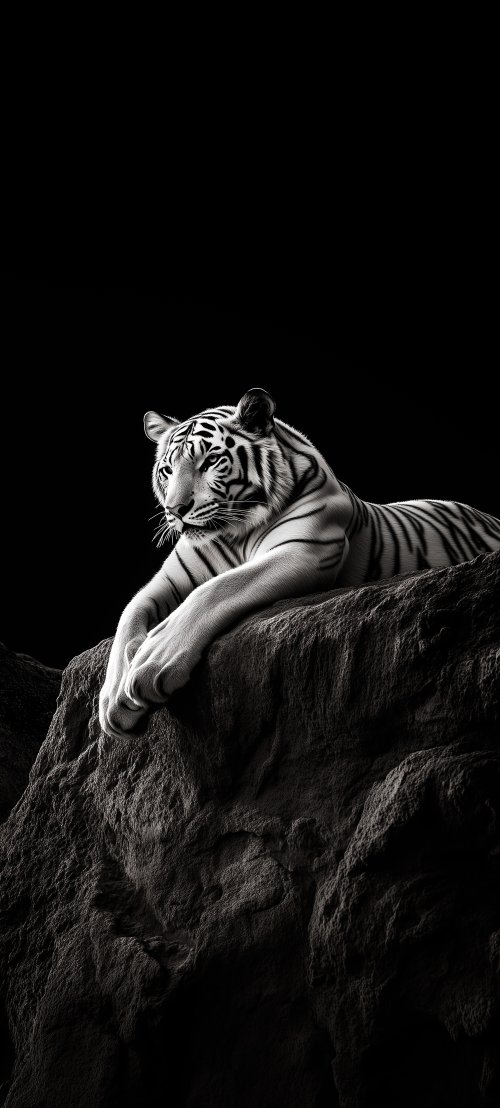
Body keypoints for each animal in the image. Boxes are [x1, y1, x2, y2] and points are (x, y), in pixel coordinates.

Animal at [99, 387, 500, 739]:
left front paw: (153, 661)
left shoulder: (304, 549)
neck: (234, 532)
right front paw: (111, 700)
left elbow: (217, 589)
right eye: (167, 470)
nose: (176, 510)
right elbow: (129, 613)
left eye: (210, 461)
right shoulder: (168, 580)